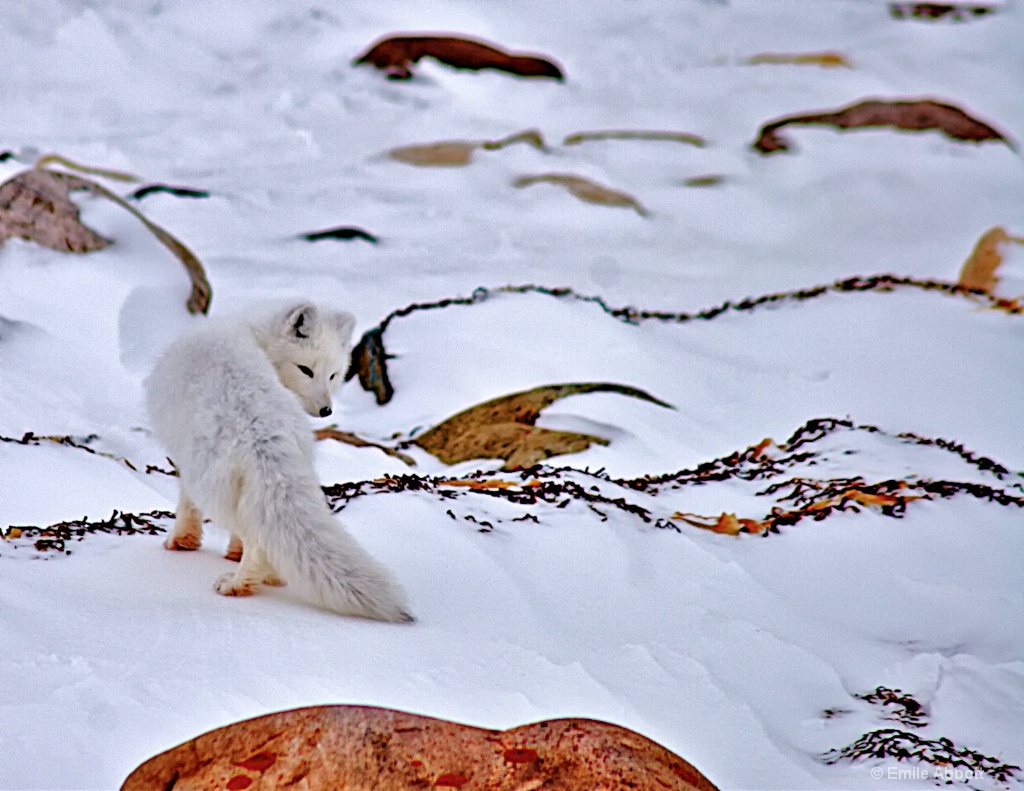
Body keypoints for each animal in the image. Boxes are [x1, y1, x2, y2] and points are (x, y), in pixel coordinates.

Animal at [143, 299, 411, 622]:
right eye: (306, 370)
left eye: (332, 375)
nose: (326, 410)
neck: (252, 332)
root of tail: (260, 427)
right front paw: (231, 552)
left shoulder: (185, 458)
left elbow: (186, 505)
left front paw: (182, 542)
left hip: (211, 482)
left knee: (256, 540)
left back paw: (238, 584)